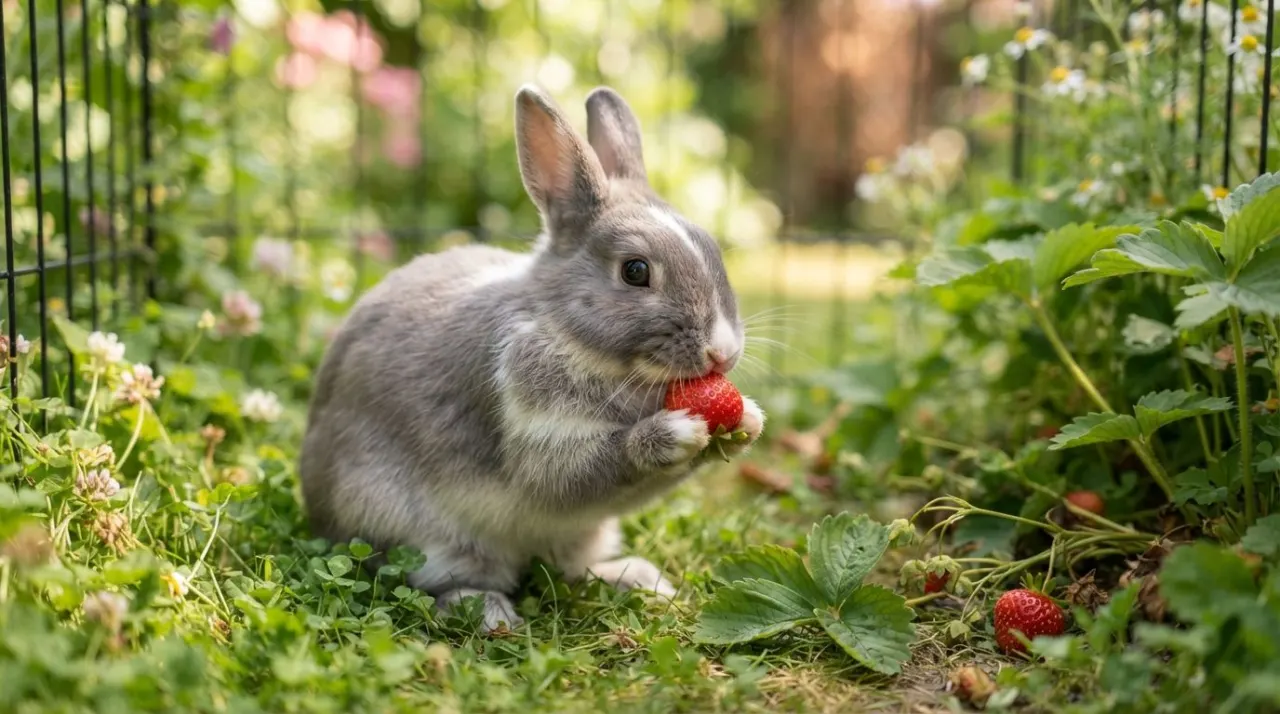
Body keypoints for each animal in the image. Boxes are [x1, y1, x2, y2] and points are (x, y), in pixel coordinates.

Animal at [299, 84, 765, 632]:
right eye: (635, 271)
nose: (723, 352)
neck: (565, 330)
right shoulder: (537, 433)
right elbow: (578, 473)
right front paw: (676, 433)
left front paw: (748, 422)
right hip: (425, 536)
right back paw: (489, 612)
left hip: (583, 535)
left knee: (574, 567)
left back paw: (637, 578)